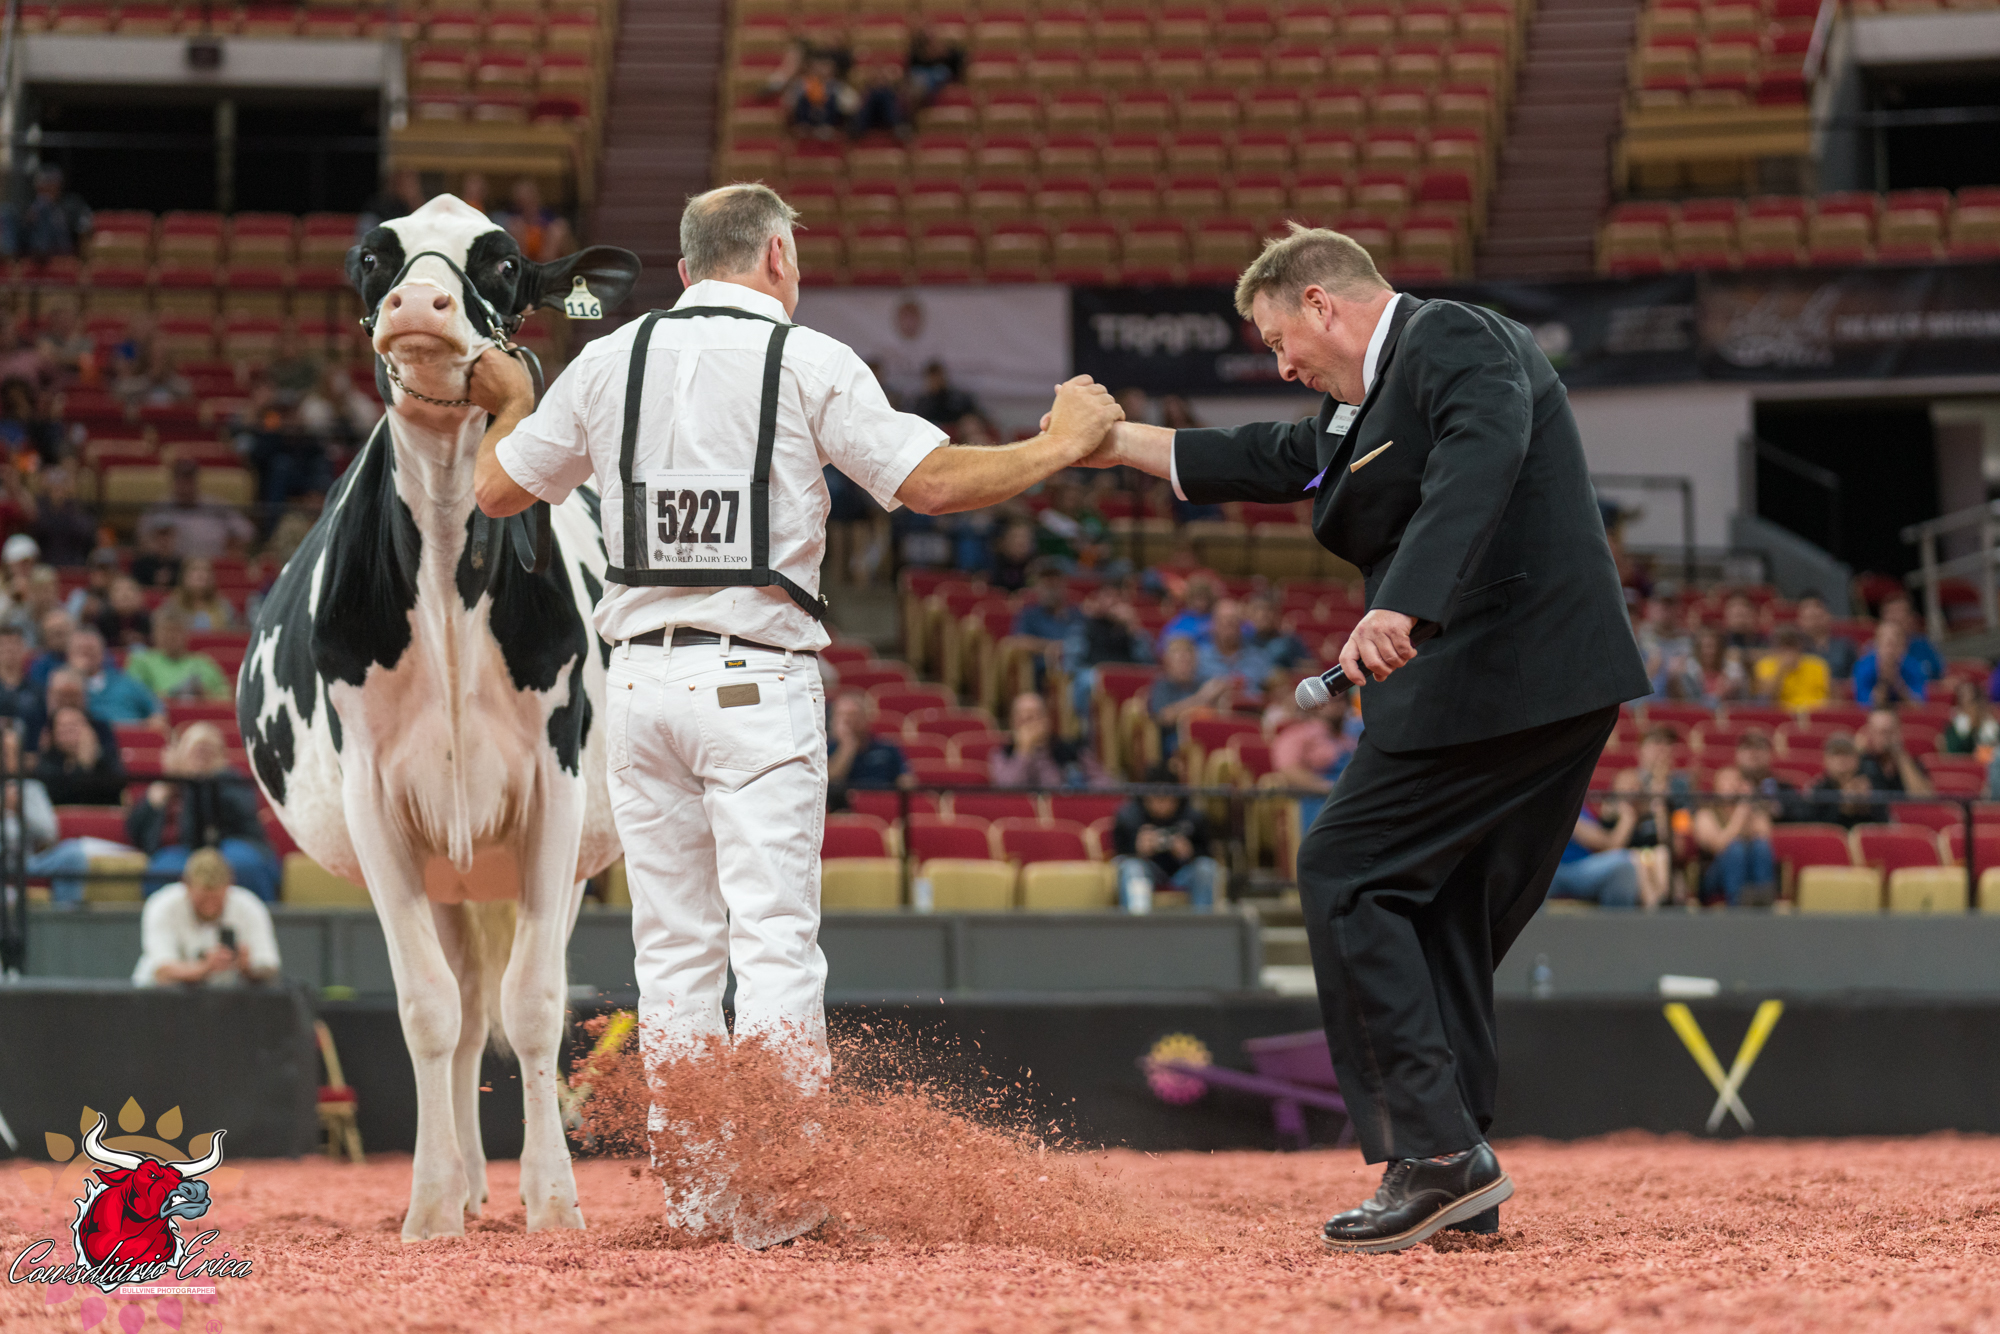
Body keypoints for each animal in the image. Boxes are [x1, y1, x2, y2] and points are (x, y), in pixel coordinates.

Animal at [237, 195, 639, 1240]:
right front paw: (426, 1208)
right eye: (371, 258)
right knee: (458, 1010)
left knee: (498, 999)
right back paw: (461, 1184)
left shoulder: (554, 794)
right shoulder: (378, 805)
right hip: (443, 870)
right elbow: (426, 1012)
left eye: (500, 264)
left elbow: (535, 1005)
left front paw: (555, 1203)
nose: (419, 302)